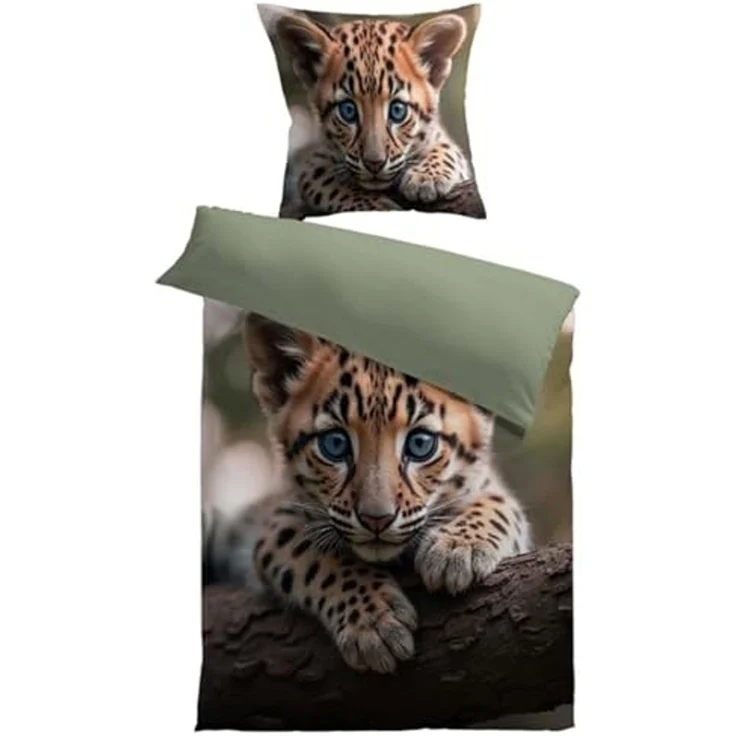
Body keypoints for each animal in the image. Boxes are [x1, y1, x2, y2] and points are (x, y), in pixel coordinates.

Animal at [221, 313, 533, 674]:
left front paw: (457, 549)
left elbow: (498, 505)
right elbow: (317, 554)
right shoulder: (280, 523)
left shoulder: (491, 489)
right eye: (335, 444)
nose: (376, 519)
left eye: (421, 444)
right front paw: (374, 622)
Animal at [273, 11, 475, 216]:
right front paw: (376, 206)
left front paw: (425, 178)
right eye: (348, 111)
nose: (374, 164)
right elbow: (325, 182)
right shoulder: (314, 163)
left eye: (397, 110)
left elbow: (447, 151)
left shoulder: (441, 140)